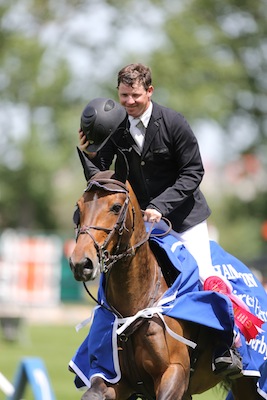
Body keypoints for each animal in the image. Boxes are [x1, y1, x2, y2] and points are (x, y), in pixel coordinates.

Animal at [68, 151, 262, 400]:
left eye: (116, 207)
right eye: (79, 208)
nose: (80, 263)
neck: (134, 307)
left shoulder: (174, 374)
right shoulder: (112, 379)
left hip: (249, 382)